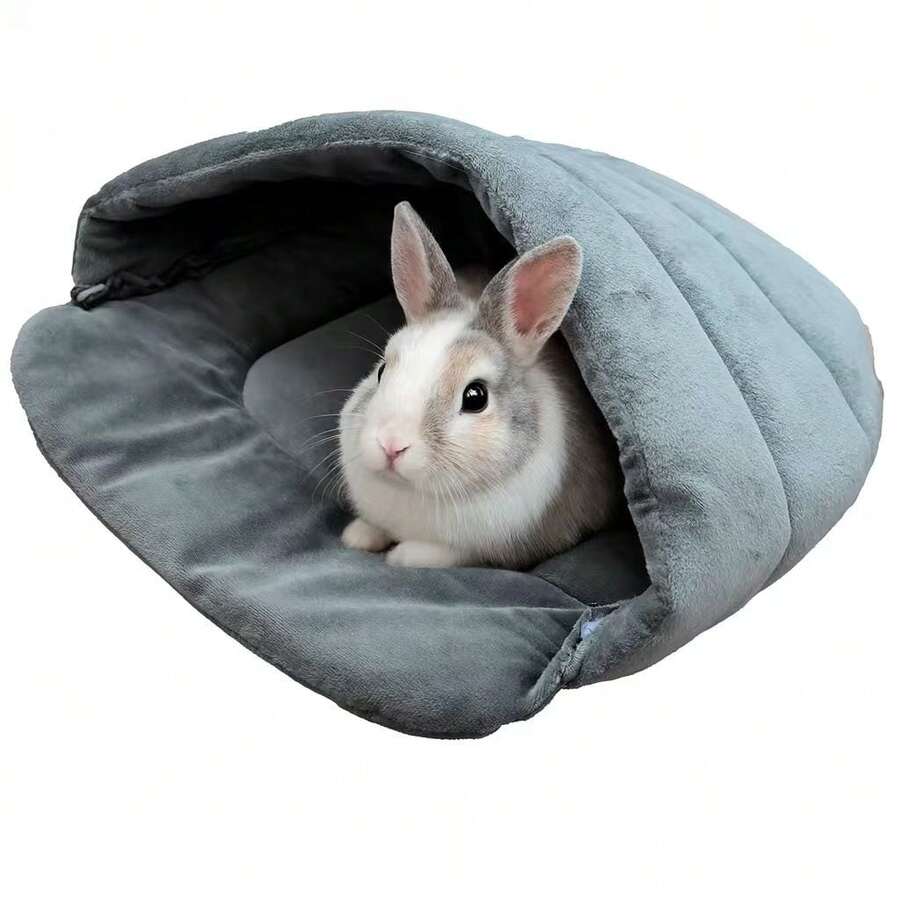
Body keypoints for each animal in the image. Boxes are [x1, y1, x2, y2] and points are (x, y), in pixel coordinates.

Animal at [338, 201, 622, 569]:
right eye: (382, 370)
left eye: (476, 397)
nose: (391, 445)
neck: (411, 490)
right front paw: (357, 535)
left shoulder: (483, 549)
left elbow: (446, 552)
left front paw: (403, 555)